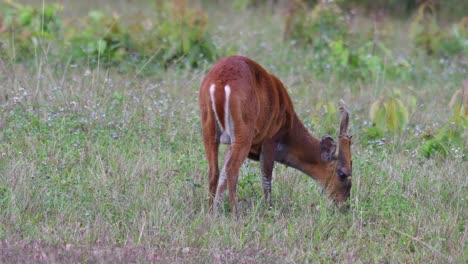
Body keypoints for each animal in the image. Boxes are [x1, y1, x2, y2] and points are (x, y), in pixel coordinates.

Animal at [199, 55, 352, 214]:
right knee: (231, 170)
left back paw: (210, 212)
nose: (345, 205)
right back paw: (236, 213)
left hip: (209, 127)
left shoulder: (231, 143)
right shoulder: (270, 139)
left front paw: (216, 212)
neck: (289, 129)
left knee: (214, 171)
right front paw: (269, 209)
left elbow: (222, 175)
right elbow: (267, 179)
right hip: (244, 132)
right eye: (343, 173)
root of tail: (220, 84)